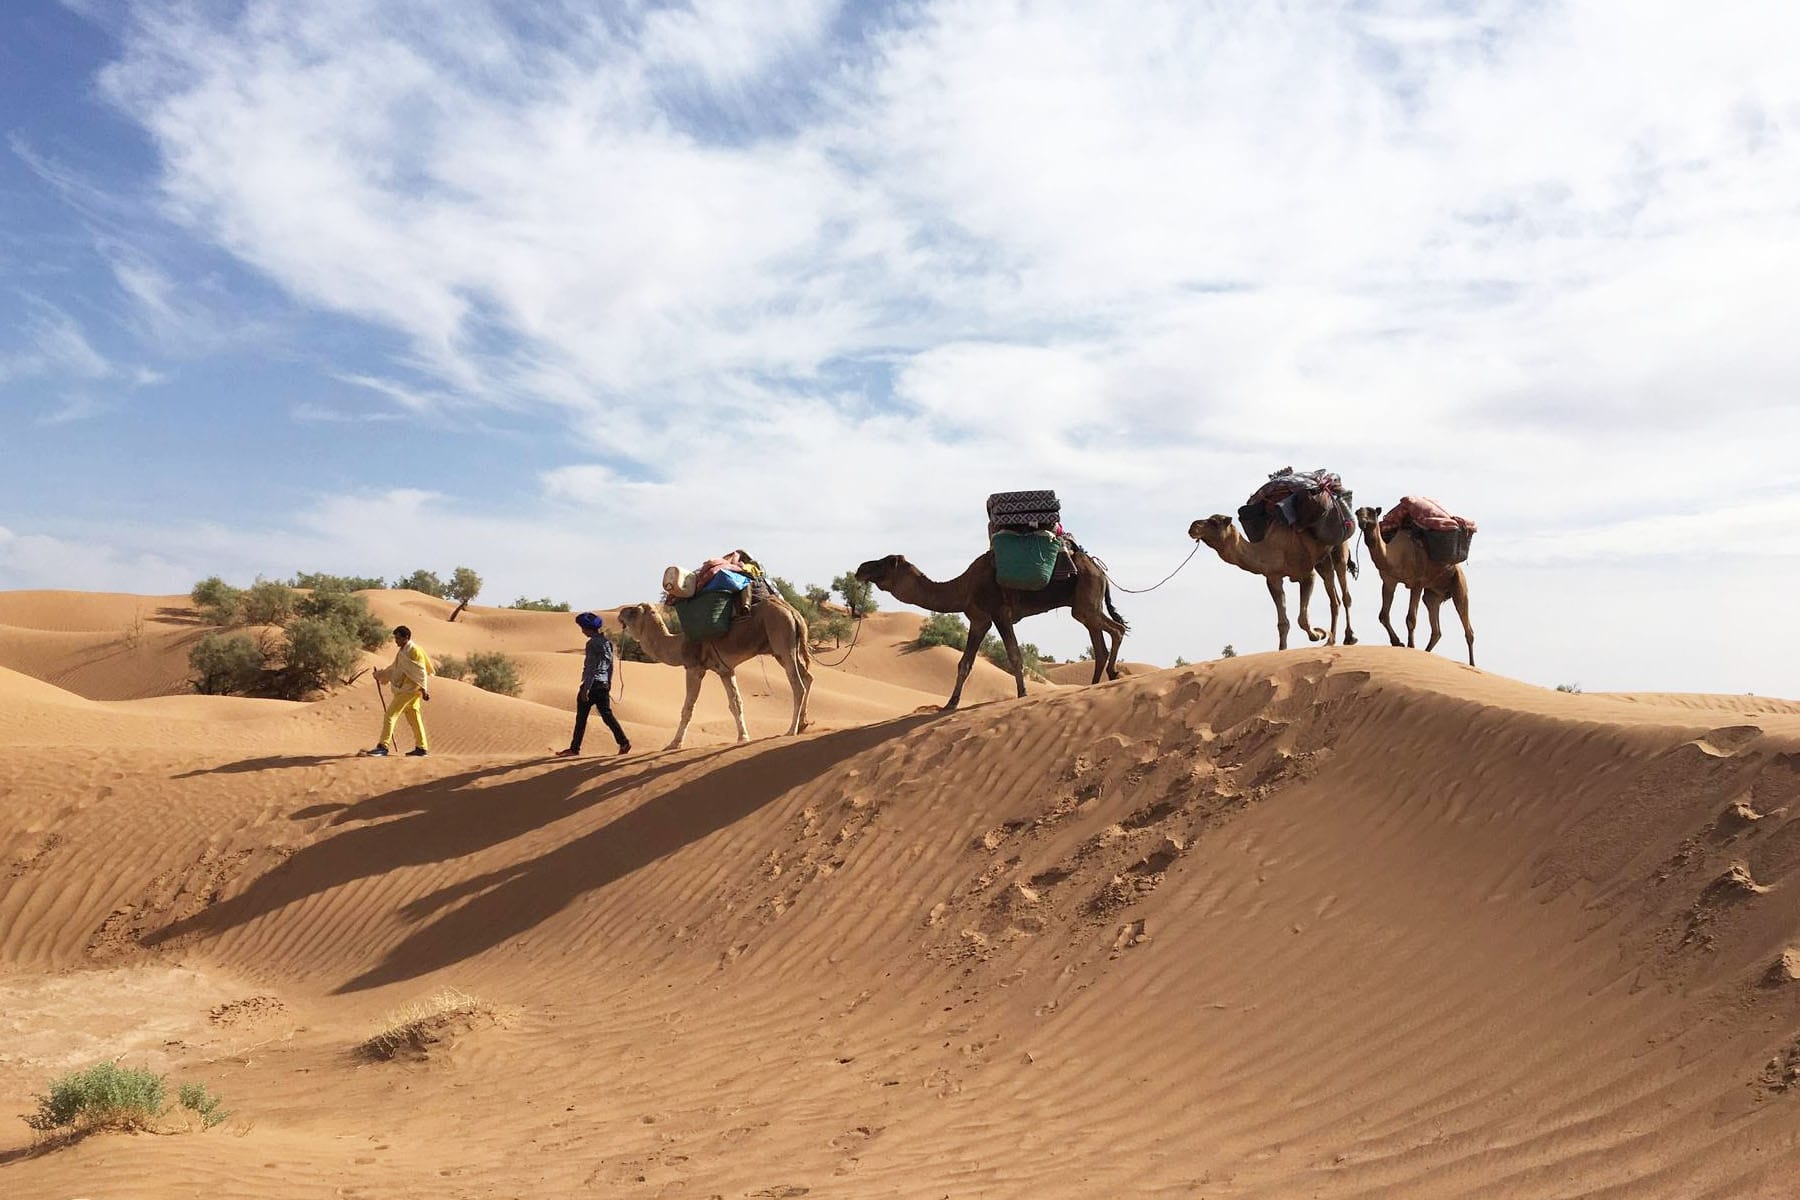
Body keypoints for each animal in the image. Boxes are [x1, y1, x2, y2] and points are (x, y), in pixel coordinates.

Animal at [619, 600, 817, 752]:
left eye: (634, 611)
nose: (620, 613)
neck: (678, 645)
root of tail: (793, 612)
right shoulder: (725, 670)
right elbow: (735, 703)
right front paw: (743, 737)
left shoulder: (694, 668)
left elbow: (688, 708)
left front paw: (674, 744)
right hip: (785, 649)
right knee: (808, 678)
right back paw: (803, 724)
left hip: (782, 640)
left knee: (797, 684)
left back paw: (791, 730)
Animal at [853, 546, 1123, 712]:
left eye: (887, 562)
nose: (860, 568)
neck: (964, 587)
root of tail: (1099, 570)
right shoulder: (979, 619)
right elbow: (964, 663)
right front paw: (950, 704)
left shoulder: (999, 612)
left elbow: (1014, 655)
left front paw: (1022, 694)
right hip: (1086, 603)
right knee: (1100, 640)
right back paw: (1096, 684)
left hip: (1086, 596)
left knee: (1117, 629)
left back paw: (1111, 674)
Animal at [1188, 514, 1353, 651]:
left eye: (1214, 522)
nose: (1193, 526)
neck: (1273, 550)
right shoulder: (1273, 578)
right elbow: (1283, 622)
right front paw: (1282, 649)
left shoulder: (1307, 574)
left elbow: (1302, 618)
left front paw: (1319, 634)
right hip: (1323, 561)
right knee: (1334, 597)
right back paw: (1331, 641)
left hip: (1340, 548)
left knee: (1344, 594)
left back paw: (1348, 638)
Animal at [1353, 510, 1476, 672]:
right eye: (1357, 513)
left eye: (1373, 513)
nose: (1363, 522)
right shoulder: (1389, 581)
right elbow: (1383, 615)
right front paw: (1397, 642)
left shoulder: (1417, 583)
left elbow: (1411, 618)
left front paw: (1410, 645)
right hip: (1433, 594)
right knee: (1436, 628)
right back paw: (1427, 653)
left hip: (1459, 585)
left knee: (1468, 627)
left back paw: (1472, 665)